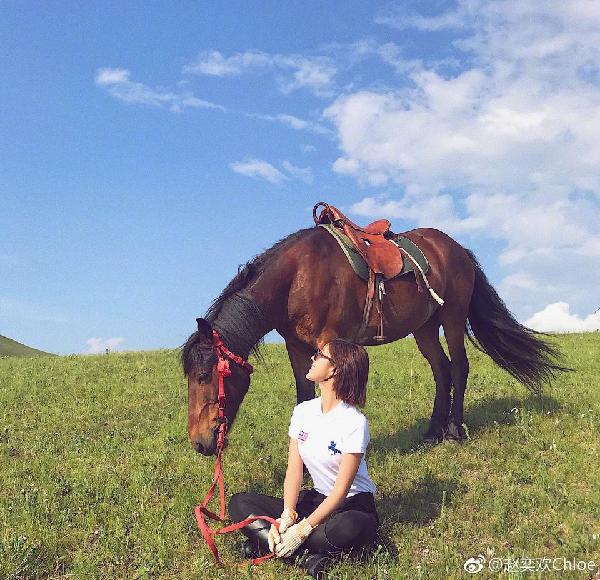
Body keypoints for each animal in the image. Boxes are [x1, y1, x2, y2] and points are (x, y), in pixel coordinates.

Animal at [183, 222, 568, 454]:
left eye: (205, 376)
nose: (200, 443)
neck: (297, 277)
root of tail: (459, 249)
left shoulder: (328, 343)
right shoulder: (296, 349)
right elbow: (303, 397)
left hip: (453, 318)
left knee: (459, 367)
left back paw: (454, 430)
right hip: (424, 328)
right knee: (441, 370)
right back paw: (433, 431)